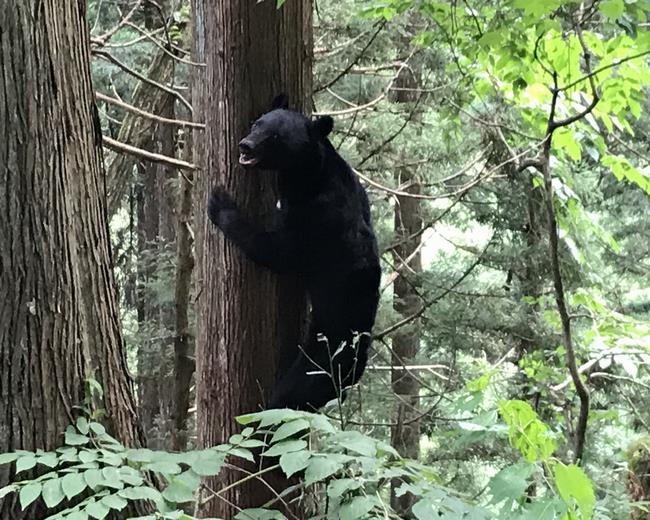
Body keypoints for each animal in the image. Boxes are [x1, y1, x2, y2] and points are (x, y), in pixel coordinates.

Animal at [208, 93, 380, 410]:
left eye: (275, 137)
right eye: (257, 122)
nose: (245, 145)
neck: (309, 174)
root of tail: (350, 376)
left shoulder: (316, 220)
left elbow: (277, 251)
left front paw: (220, 203)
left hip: (317, 365)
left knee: (286, 400)